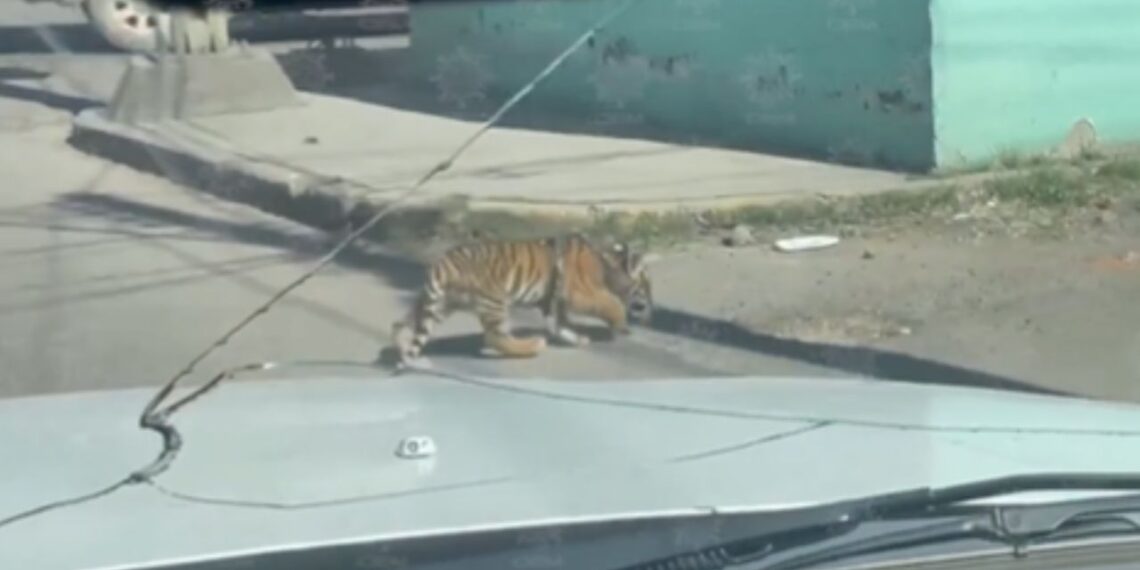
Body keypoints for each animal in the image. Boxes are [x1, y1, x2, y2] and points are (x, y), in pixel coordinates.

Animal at [389, 233, 657, 366]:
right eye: (647, 286)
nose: (652, 310)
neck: (606, 264)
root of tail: (442, 264)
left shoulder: (553, 303)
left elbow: (559, 325)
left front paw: (577, 338)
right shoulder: (582, 292)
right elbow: (611, 303)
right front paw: (621, 324)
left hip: (441, 304)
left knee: (403, 323)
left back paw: (400, 346)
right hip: (495, 299)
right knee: (496, 337)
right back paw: (532, 345)